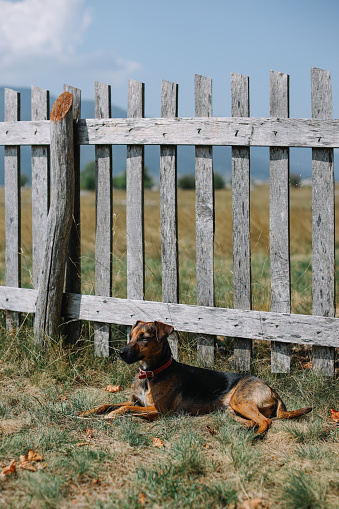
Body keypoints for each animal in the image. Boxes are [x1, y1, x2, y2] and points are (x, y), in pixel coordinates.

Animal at [79, 320, 314, 430]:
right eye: (130, 336)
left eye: (144, 337)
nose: (120, 352)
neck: (150, 374)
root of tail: (272, 389)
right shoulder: (137, 402)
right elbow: (108, 404)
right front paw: (87, 411)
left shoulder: (158, 410)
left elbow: (124, 409)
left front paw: (112, 415)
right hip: (231, 409)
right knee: (255, 421)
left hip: (241, 401)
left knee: (265, 422)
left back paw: (256, 436)